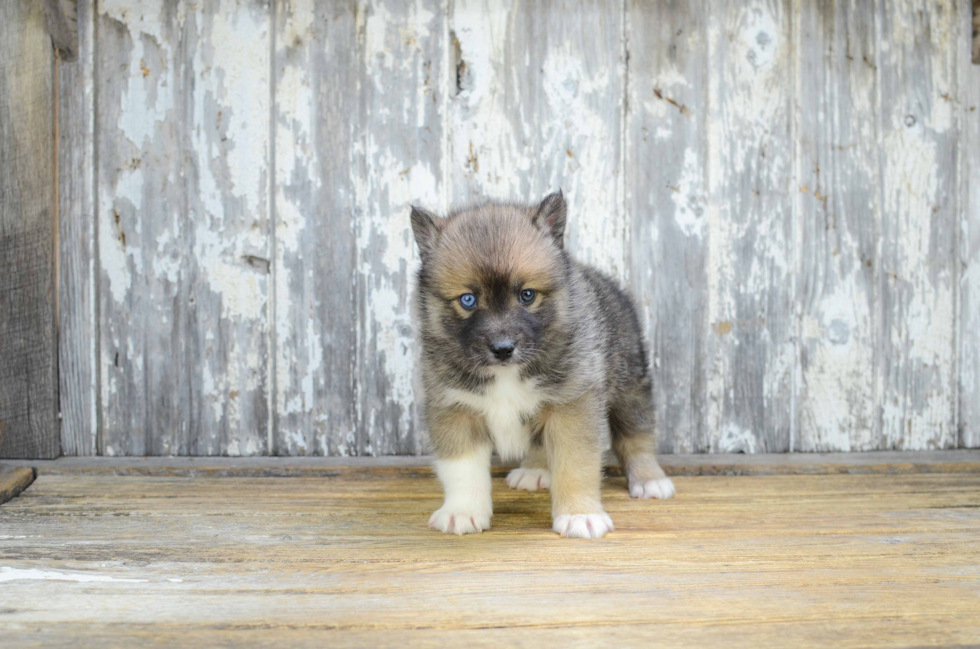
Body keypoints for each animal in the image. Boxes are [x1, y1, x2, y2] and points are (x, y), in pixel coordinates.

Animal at [408, 191, 672, 536]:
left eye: (527, 295)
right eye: (467, 299)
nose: (503, 349)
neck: (506, 374)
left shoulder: (572, 405)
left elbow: (575, 464)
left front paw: (579, 514)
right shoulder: (455, 409)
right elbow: (461, 468)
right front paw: (462, 511)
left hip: (630, 384)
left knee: (637, 435)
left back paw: (649, 478)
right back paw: (535, 470)